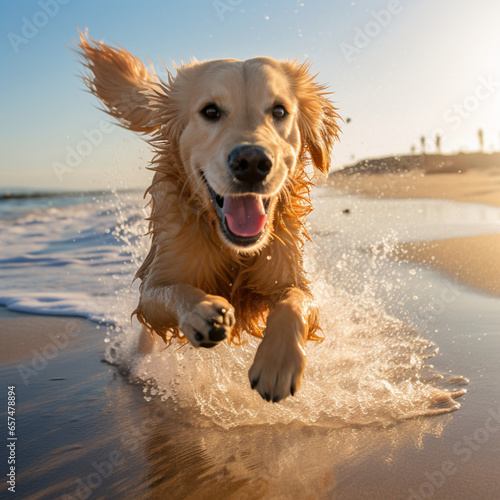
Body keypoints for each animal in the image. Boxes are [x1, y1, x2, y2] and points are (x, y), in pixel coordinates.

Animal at [77, 29, 340, 402]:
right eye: (210, 111)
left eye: (279, 110)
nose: (252, 162)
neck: (233, 249)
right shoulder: (155, 283)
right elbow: (174, 291)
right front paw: (202, 311)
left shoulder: (288, 274)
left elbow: (296, 301)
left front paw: (277, 362)